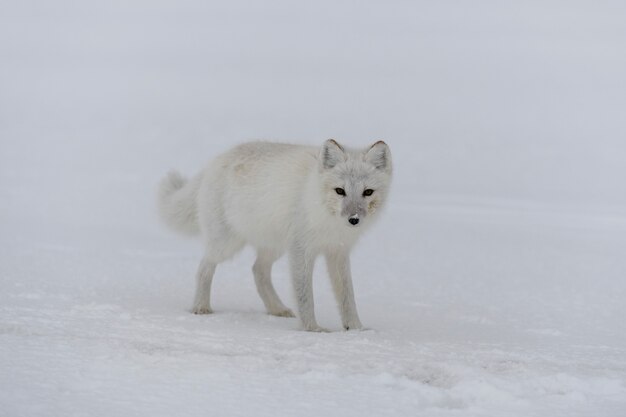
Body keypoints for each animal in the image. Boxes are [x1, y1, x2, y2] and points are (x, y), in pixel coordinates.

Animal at [157, 140, 390, 332]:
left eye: (368, 192)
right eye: (340, 191)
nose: (354, 219)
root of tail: (216, 161)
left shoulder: (338, 251)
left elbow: (347, 296)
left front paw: (356, 329)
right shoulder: (301, 250)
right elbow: (305, 296)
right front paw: (312, 329)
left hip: (274, 246)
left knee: (258, 270)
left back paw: (276, 309)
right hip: (226, 245)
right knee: (204, 267)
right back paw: (200, 306)